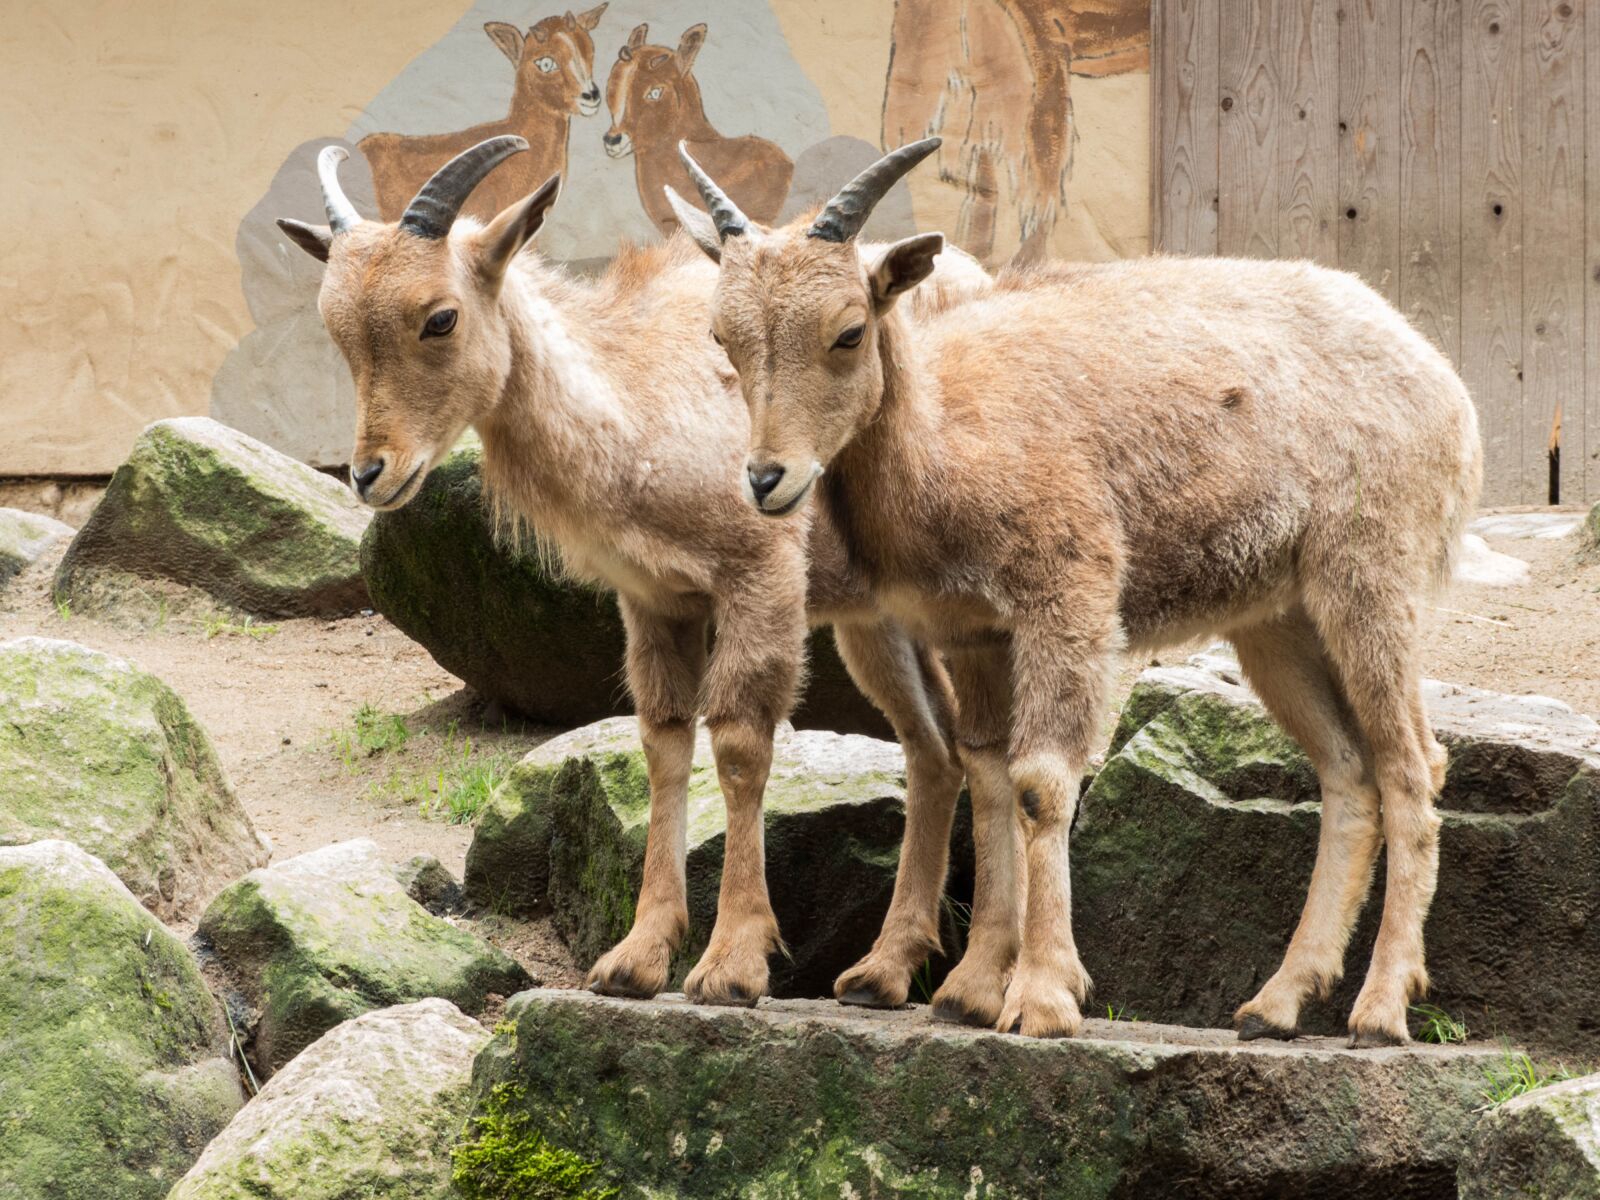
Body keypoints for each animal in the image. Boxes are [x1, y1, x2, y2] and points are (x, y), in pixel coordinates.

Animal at [276, 137, 995, 1012]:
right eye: (336, 327)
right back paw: (885, 971)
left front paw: (731, 963)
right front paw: (636, 958)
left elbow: (740, 743)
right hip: (874, 619)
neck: (635, 415)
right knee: (936, 746)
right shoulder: (656, 601)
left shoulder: (761, 577)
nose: (371, 474)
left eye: (439, 316)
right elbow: (662, 739)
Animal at [672, 140, 1483, 1045]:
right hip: (1279, 620)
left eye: (849, 331)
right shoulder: (974, 632)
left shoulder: (1070, 596)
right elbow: (989, 772)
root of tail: (1447, 389)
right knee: (1348, 773)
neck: (948, 443)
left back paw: (1380, 1008)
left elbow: (1043, 780)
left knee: (1412, 765)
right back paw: (1276, 1002)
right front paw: (971, 990)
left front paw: (1044, 997)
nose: (767, 479)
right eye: (723, 336)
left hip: (1370, 576)